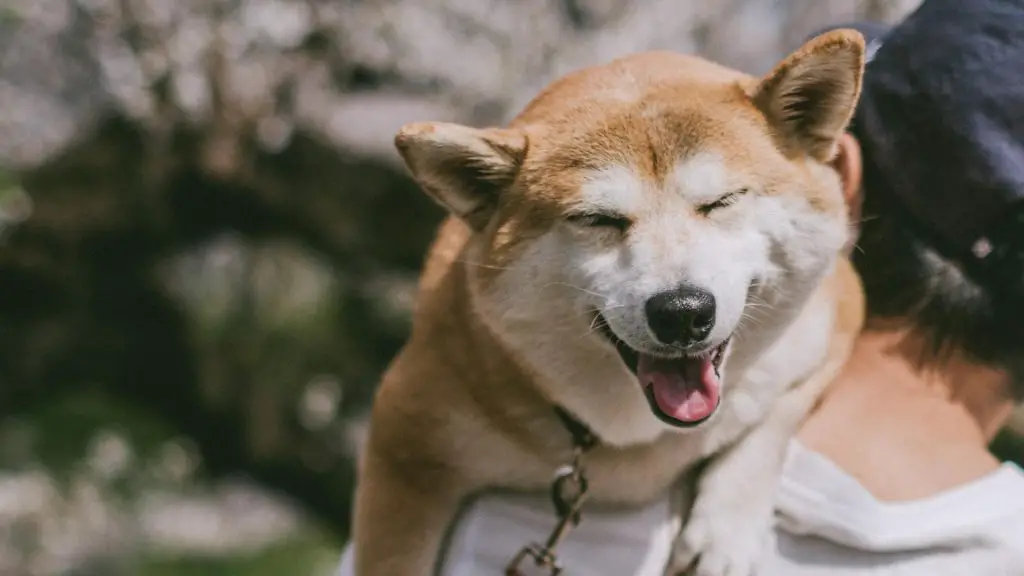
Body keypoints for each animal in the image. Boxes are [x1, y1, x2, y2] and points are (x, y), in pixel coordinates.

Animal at [350, 29, 864, 573]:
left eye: (722, 201)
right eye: (598, 220)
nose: (682, 312)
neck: (636, 447)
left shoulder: (834, 317)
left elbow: (774, 421)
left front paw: (725, 533)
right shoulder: (407, 433)